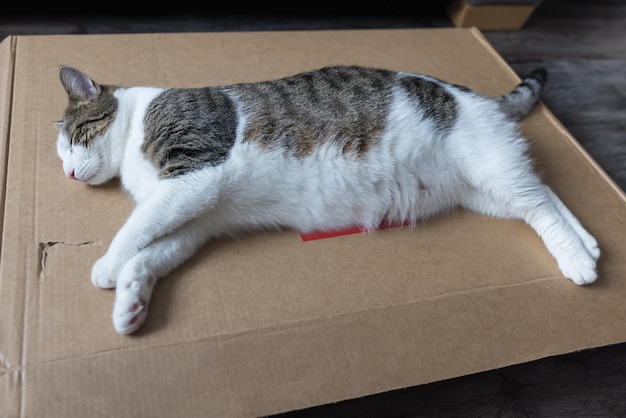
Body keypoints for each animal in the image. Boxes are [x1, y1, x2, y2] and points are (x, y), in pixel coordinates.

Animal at [54, 64, 600, 334]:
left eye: (73, 139)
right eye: (61, 154)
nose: (68, 173)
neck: (135, 127)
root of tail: (479, 97)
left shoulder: (194, 176)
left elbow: (133, 231)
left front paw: (106, 268)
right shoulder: (197, 217)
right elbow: (152, 252)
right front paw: (130, 300)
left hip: (491, 170)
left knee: (540, 205)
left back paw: (577, 260)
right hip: (485, 190)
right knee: (542, 190)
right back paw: (589, 245)